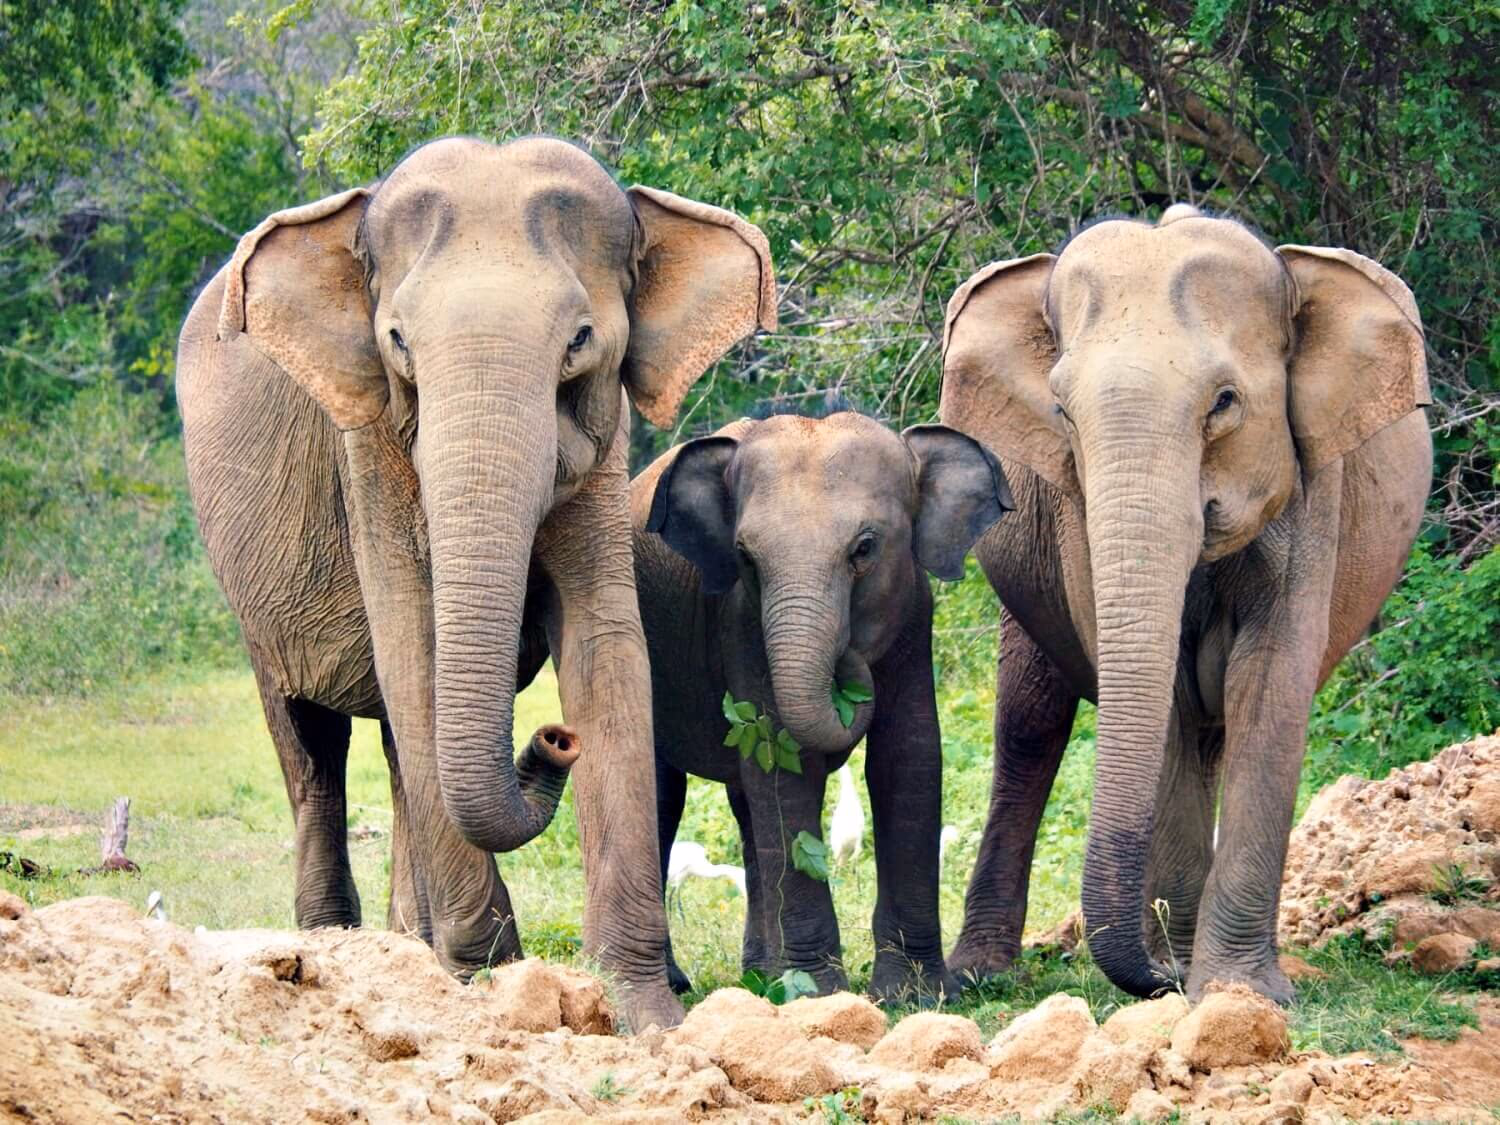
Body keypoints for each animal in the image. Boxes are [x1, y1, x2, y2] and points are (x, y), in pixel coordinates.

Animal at [174, 136, 776, 1031]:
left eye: (580, 339)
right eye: (398, 342)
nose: (553, 738)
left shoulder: (605, 448)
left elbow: (606, 643)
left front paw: (644, 1013)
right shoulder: (368, 448)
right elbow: (411, 642)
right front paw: (491, 981)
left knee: (395, 751)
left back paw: (409, 948)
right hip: (253, 595)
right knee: (311, 745)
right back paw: (334, 947)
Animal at [632, 411, 1013, 1002]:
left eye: (865, 548)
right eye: (745, 557)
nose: (850, 659)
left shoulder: (914, 613)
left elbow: (908, 757)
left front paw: (917, 995)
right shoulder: (741, 622)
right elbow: (783, 764)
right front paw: (817, 994)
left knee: (746, 811)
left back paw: (761, 974)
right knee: (664, 791)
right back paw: (690, 982)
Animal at [938, 205, 1432, 1003]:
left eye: (1224, 403)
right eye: (1060, 410)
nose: (1159, 979)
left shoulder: (1313, 488)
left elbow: (1269, 681)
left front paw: (1238, 992)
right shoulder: (1075, 514)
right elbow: (1163, 694)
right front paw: (1189, 975)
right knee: (1030, 725)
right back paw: (984, 974)